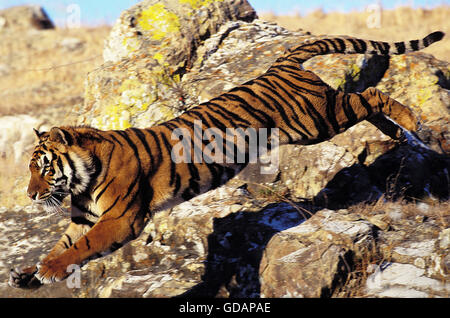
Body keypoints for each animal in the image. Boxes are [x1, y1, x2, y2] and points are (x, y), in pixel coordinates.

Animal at [8, 31, 444, 286]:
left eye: (43, 167)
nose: (30, 195)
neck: (83, 177)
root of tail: (280, 64)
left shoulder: (120, 219)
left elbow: (81, 247)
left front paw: (49, 271)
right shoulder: (85, 217)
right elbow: (60, 243)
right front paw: (28, 272)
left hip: (317, 120)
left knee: (370, 95)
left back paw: (413, 124)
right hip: (315, 123)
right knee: (366, 103)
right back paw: (400, 134)